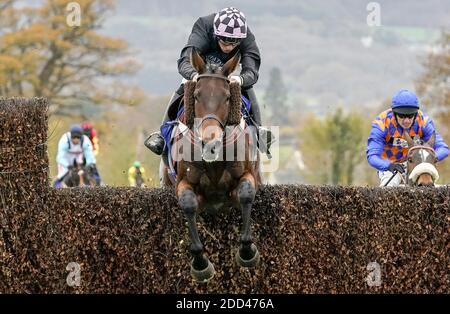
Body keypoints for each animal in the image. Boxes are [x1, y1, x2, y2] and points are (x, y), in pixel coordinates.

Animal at [160, 49, 262, 282]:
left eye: (227, 97)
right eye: (197, 95)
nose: (210, 143)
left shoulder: (247, 175)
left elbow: (246, 194)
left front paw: (247, 252)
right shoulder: (183, 182)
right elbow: (188, 204)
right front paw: (200, 264)